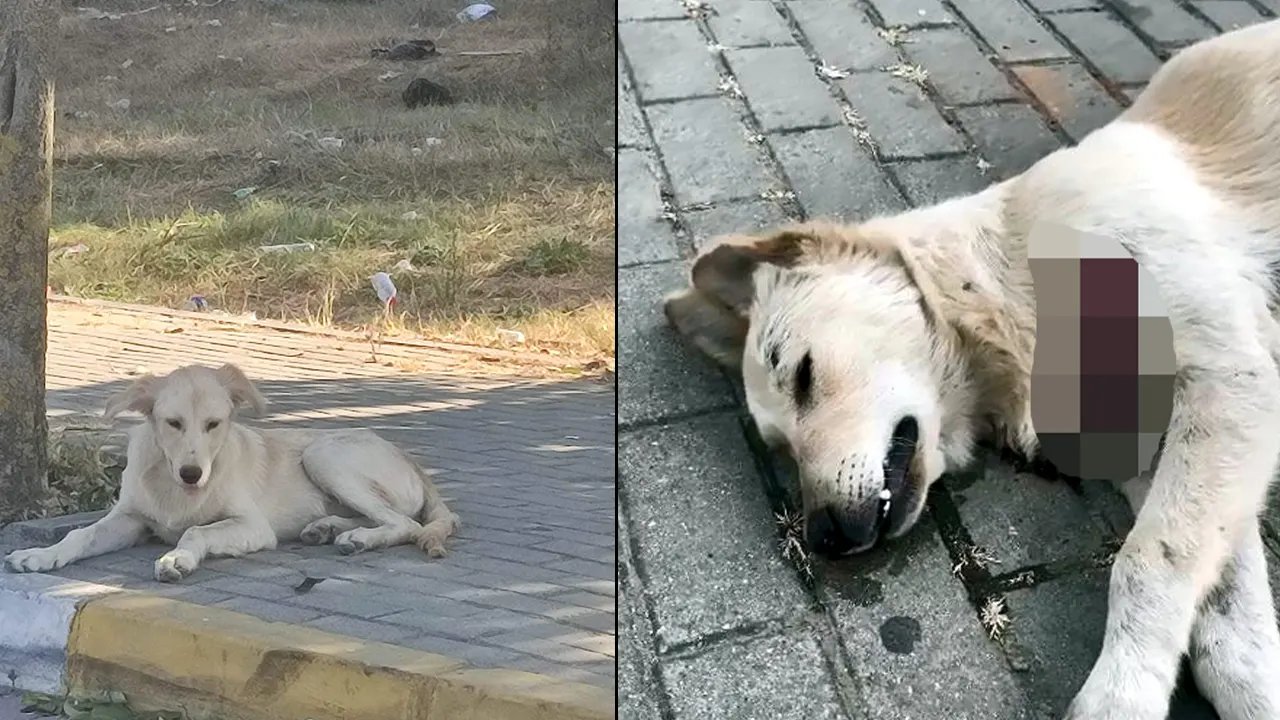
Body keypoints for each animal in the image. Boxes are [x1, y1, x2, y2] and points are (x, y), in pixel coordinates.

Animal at [0, 363, 458, 584]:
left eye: (214, 424)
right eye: (172, 423)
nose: (191, 473)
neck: (174, 489)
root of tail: (412, 461)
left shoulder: (252, 526)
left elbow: (196, 531)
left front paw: (178, 558)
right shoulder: (130, 519)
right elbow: (79, 535)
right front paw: (41, 555)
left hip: (324, 453)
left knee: (404, 523)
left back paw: (359, 538)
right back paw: (325, 528)